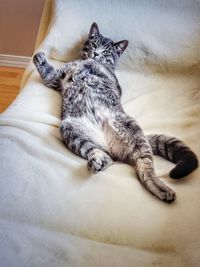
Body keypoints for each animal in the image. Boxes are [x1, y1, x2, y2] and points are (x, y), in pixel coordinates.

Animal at [33, 22, 198, 203]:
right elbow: (52, 73)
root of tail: (110, 145)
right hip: (71, 130)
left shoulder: (85, 72)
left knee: (145, 169)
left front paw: (42, 57)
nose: (96, 53)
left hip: (132, 131)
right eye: (94, 44)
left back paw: (162, 189)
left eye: (106, 52)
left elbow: (77, 70)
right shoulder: (56, 78)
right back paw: (97, 162)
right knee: (106, 157)